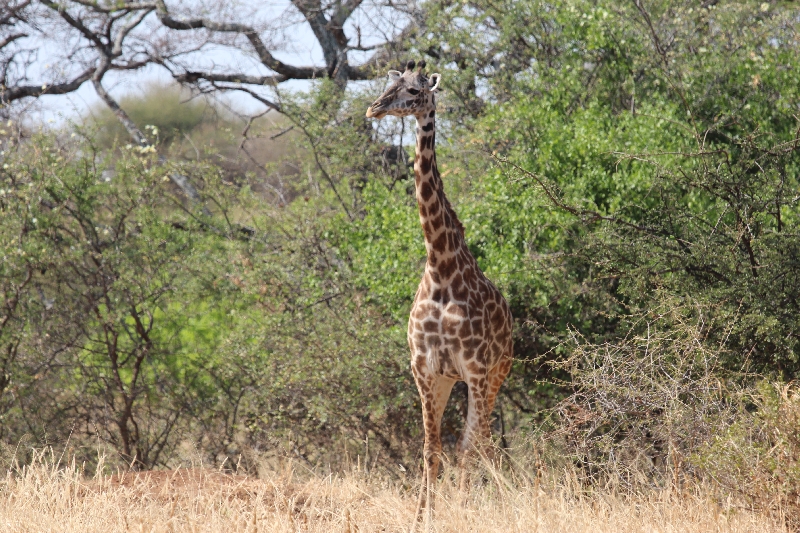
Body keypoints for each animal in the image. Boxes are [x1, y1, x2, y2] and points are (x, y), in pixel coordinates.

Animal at [368, 60, 516, 524]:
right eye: (388, 84)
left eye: (415, 91)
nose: (373, 109)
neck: (440, 267)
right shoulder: (424, 369)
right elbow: (430, 450)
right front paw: (422, 519)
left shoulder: (477, 369)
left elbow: (467, 448)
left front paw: (462, 515)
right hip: (454, 381)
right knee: (468, 444)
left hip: (495, 376)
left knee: (480, 444)